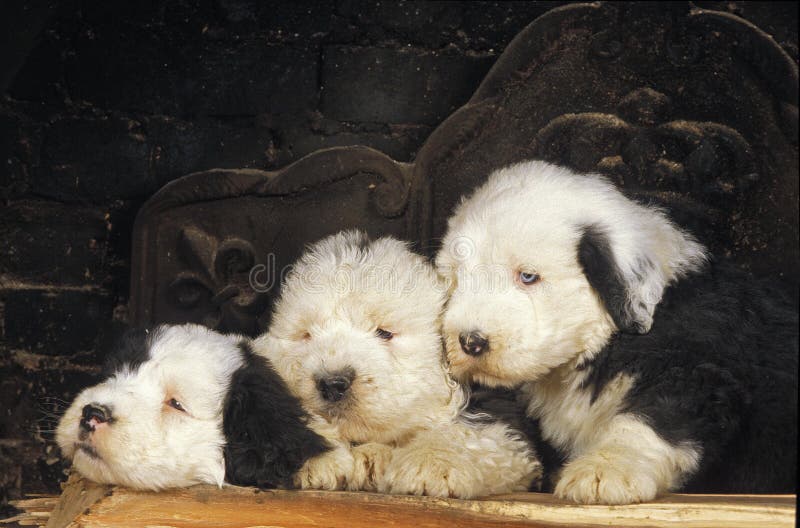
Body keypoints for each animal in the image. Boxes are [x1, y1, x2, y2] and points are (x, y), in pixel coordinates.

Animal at [256, 231, 544, 500]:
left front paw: (430, 463)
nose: (332, 383)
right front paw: (320, 455)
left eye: (384, 333)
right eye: (306, 335)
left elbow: (468, 432)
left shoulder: (501, 414)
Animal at [434, 160, 796, 504]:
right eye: (456, 279)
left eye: (528, 276)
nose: (470, 342)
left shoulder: (698, 373)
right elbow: (503, 429)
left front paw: (604, 470)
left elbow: (650, 421)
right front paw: (448, 460)